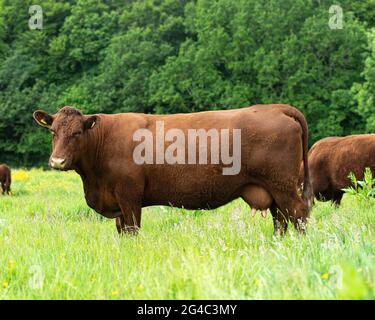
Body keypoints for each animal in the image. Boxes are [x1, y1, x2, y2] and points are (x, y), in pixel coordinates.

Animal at [33, 105, 314, 235]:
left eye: (77, 133)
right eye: (53, 131)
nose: (57, 161)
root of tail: (276, 107)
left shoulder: (129, 197)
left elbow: (133, 231)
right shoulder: (117, 203)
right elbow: (122, 232)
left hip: (283, 186)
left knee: (298, 214)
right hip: (273, 191)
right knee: (281, 220)